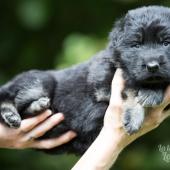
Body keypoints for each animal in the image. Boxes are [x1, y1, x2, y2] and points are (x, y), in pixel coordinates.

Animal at [0, 5, 170, 154]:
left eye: (166, 43)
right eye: (136, 45)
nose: (152, 66)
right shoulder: (105, 82)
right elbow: (131, 84)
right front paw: (136, 114)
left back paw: (36, 107)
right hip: (40, 82)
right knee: (8, 97)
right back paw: (12, 114)